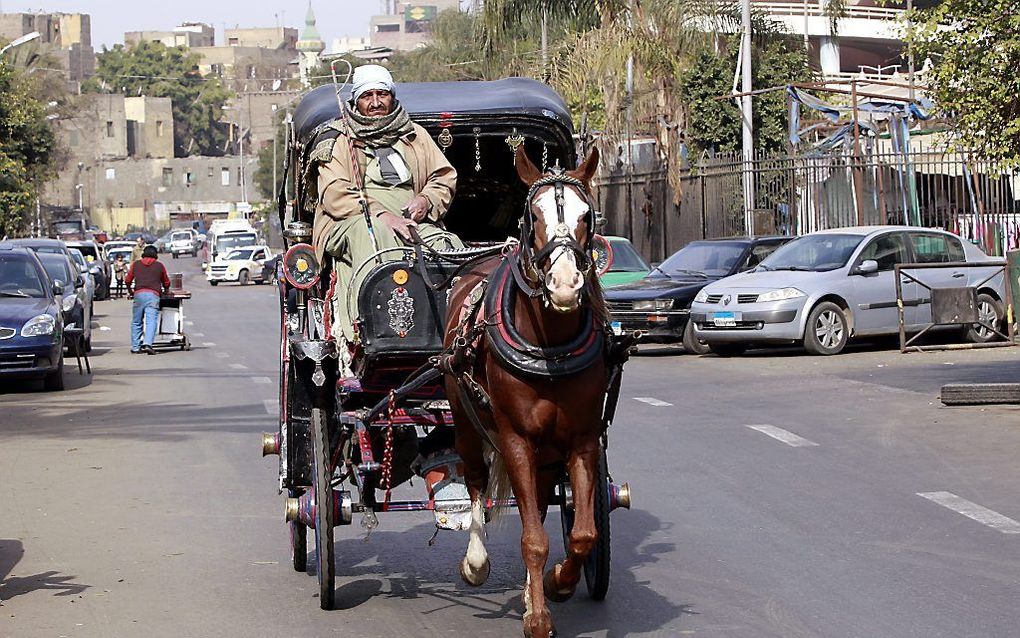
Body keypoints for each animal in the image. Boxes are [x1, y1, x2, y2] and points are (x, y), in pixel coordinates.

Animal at [442, 145, 607, 636]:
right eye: (533, 215)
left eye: (586, 215)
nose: (566, 285)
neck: (549, 347)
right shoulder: (515, 438)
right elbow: (532, 537)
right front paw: (537, 616)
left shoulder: (581, 439)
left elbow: (583, 533)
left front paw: (555, 584)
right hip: (465, 419)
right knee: (476, 479)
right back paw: (476, 561)